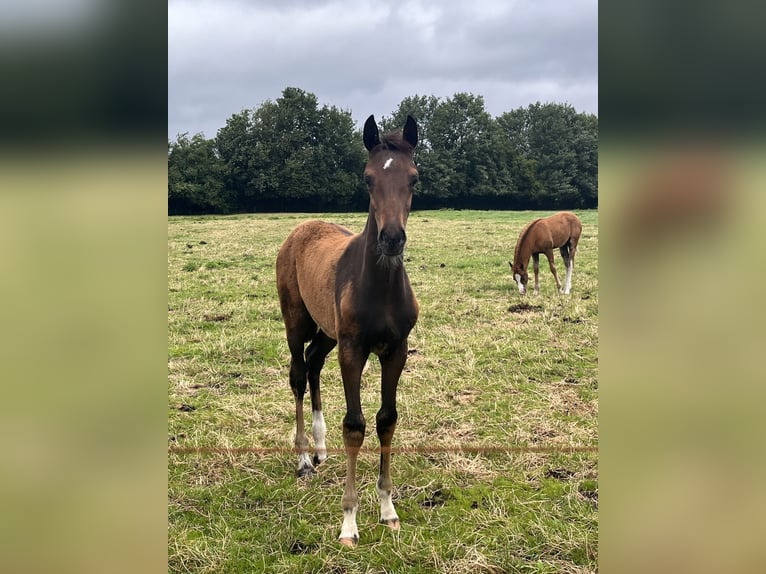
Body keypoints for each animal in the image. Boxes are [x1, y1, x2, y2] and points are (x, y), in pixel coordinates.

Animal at [276, 115, 420, 548]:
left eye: (414, 178)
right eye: (368, 178)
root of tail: (301, 228)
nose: (391, 239)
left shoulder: (396, 350)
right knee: (297, 373)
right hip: (296, 322)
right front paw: (349, 522)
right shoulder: (353, 349)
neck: (381, 287)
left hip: (327, 333)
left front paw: (388, 509)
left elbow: (387, 419)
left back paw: (321, 449)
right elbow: (355, 427)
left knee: (313, 363)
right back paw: (304, 459)